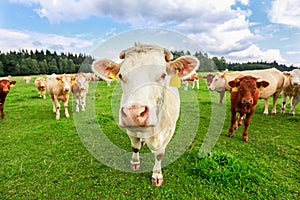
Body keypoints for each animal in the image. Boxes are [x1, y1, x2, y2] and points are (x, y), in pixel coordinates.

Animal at [91, 43, 199, 187]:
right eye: (120, 76)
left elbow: (159, 154)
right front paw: (135, 162)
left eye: (163, 75)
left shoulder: (169, 131)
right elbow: (135, 147)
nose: (134, 113)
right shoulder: (130, 130)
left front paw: (157, 175)